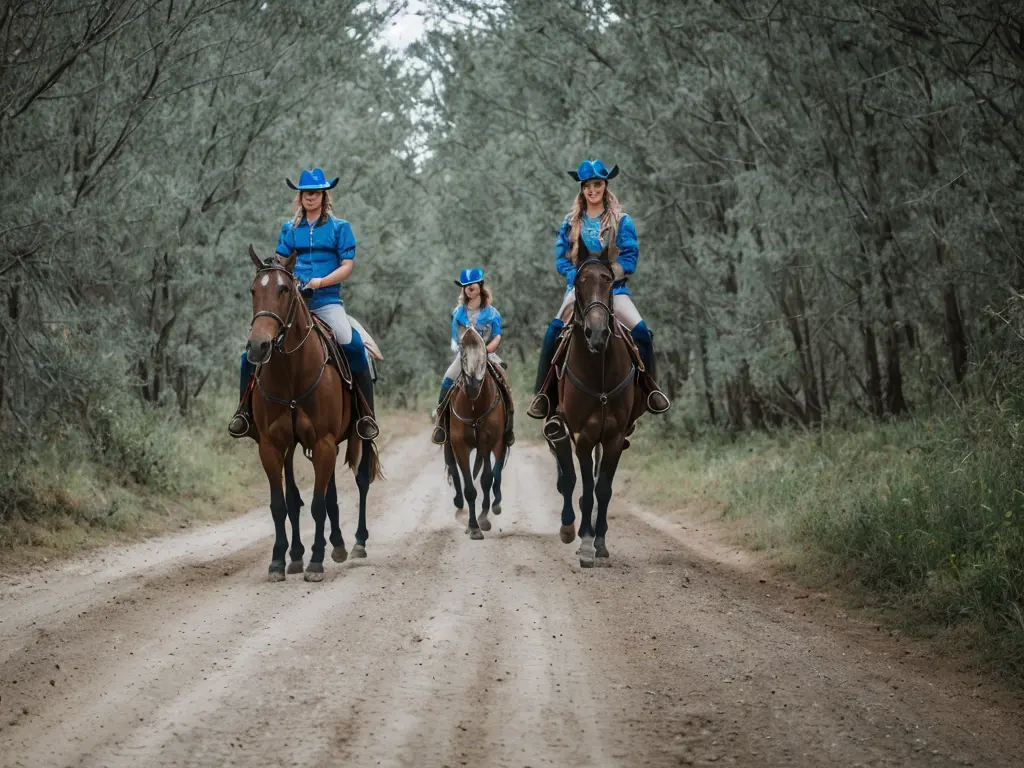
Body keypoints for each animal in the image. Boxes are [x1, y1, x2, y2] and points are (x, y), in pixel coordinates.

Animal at [245, 246, 382, 581]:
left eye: (284, 289)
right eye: (253, 291)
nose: (258, 346)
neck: (292, 373)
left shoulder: (322, 441)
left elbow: (318, 504)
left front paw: (316, 561)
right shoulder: (273, 446)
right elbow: (282, 503)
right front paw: (280, 560)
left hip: (354, 437)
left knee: (361, 481)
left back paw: (357, 543)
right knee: (317, 493)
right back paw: (324, 547)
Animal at [446, 325, 509, 540]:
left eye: (484, 355)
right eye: (462, 353)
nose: (472, 387)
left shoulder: (492, 443)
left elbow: (487, 479)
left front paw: (483, 519)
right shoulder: (460, 446)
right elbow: (470, 489)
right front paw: (473, 527)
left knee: (489, 475)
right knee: (453, 468)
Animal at [544, 240, 638, 573]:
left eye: (609, 280)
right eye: (578, 281)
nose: (596, 333)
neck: (599, 367)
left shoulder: (612, 438)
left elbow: (603, 489)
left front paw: (600, 542)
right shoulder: (583, 436)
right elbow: (584, 487)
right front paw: (584, 544)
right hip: (560, 429)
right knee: (568, 479)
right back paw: (568, 528)